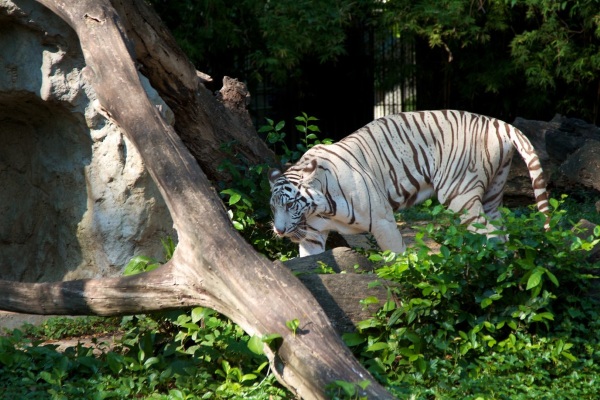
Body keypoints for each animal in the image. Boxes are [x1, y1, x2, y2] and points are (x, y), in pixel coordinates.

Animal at [270, 110, 552, 256]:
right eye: (273, 208)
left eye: (291, 204)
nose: (279, 231)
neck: (320, 208)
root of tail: (497, 122)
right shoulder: (313, 236)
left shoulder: (382, 221)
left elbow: (396, 256)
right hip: (492, 194)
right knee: (501, 231)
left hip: (458, 194)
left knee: (489, 232)